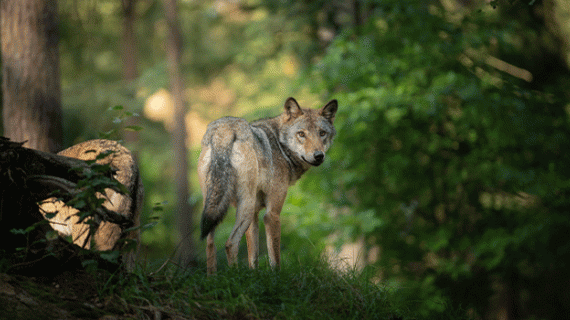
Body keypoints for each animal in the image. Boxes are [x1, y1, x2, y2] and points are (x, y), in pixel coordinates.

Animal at [197, 96, 336, 274]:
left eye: (322, 133)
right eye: (301, 134)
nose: (319, 155)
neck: (280, 146)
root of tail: (224, 129)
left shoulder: (255, 215)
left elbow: (253, 257)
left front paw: (254, 275)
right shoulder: (271, 214)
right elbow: (274, 258)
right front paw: (276, 277)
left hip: (214, 206)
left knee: (210, 244)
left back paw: (212, 277)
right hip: (246, 207)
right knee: (230, 243)